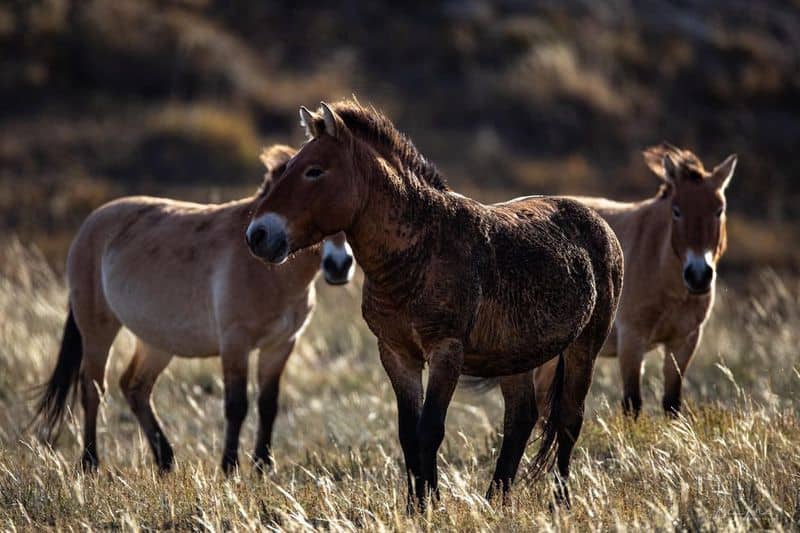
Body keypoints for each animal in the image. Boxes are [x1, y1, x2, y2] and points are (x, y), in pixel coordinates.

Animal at [33, 143, 354, 472]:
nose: (339, 266)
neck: (270, 271)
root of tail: (91, 222)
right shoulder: (234, 342)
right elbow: (236, 405)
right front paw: (229, 467)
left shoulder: (281, 345)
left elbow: (268, 404)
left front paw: (263, 465)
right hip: (98, 330)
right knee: (92, 389)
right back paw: (90, 462)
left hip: (157, 342)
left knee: (135, 386)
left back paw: (165, 459)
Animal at [244, 101, 624, 508]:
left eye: (314, 170)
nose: (258, 235)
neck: (419, 253)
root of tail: (599, 223)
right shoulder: (396, 354)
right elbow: (408, 432)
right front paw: (416, 504)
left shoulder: (445, 351)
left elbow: (430, 429)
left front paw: (431, 504)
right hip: (515, 356)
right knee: (521, 419)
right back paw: (495, 500)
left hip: (585, 346)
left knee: (569, 420)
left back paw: (559, 502)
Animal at [536, 142, 740, 416]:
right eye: (677, 211)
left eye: (719, 210)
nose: (698, 275)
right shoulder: (632, 340)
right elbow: (632, 403)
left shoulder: (683, 342)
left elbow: (672, 402)